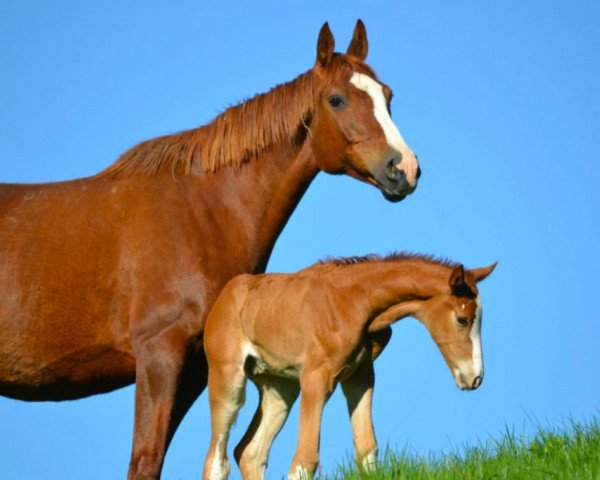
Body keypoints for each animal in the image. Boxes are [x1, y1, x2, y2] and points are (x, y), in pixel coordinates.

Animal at [0, 20, 420, 478]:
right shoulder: (159, 357)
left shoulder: (195, 367)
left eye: (388, 96)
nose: (404, 168)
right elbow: (146, 459)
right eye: (337, 100)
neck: (200, 212)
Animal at [203, 253, 496, 478]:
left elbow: (367, 449)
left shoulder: (360, 375)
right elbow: (305, 460)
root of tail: (225, 296)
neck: (355, 303)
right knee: (216, 460)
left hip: (280, 388)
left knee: (250, 452)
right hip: (227, 379)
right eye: (462, 319)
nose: (475, 377)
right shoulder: (315, 378)